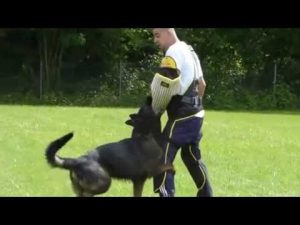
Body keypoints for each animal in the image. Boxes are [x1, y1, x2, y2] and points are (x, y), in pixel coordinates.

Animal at [45, 97, 173, 196]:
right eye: (147, 107)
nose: (149, 97)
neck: (144, 134)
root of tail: (77, 161)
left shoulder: (138, 181)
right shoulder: (151, 171)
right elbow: (169, 166)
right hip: (105, 183)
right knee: (88, 193)